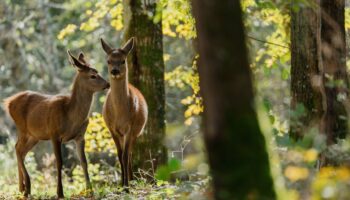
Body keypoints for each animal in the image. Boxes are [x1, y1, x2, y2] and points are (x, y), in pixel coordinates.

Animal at [3, 50, 109, 198]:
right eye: (92, 75)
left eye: (97, 71)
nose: (108, 84)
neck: (71, 116)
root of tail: (8, 102)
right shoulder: (54, 133)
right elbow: (59, 162)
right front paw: (60, 192)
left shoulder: (80, 136)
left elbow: (84, 162)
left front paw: (90, 191)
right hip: (22, 128)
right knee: (18, 149)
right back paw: (27, 187)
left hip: (35, 135)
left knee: (21, 151)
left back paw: (21, 189)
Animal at [100, 38, 148, 189]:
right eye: (108, 60)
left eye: (123, 60)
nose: (114, 71)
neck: (120, 115)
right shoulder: (112, 129)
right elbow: (120, 155)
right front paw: (121, 184)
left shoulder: (130, 128)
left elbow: (125, 156)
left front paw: (126, 186)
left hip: (136, 132)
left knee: (131, 154)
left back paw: (131, 181)